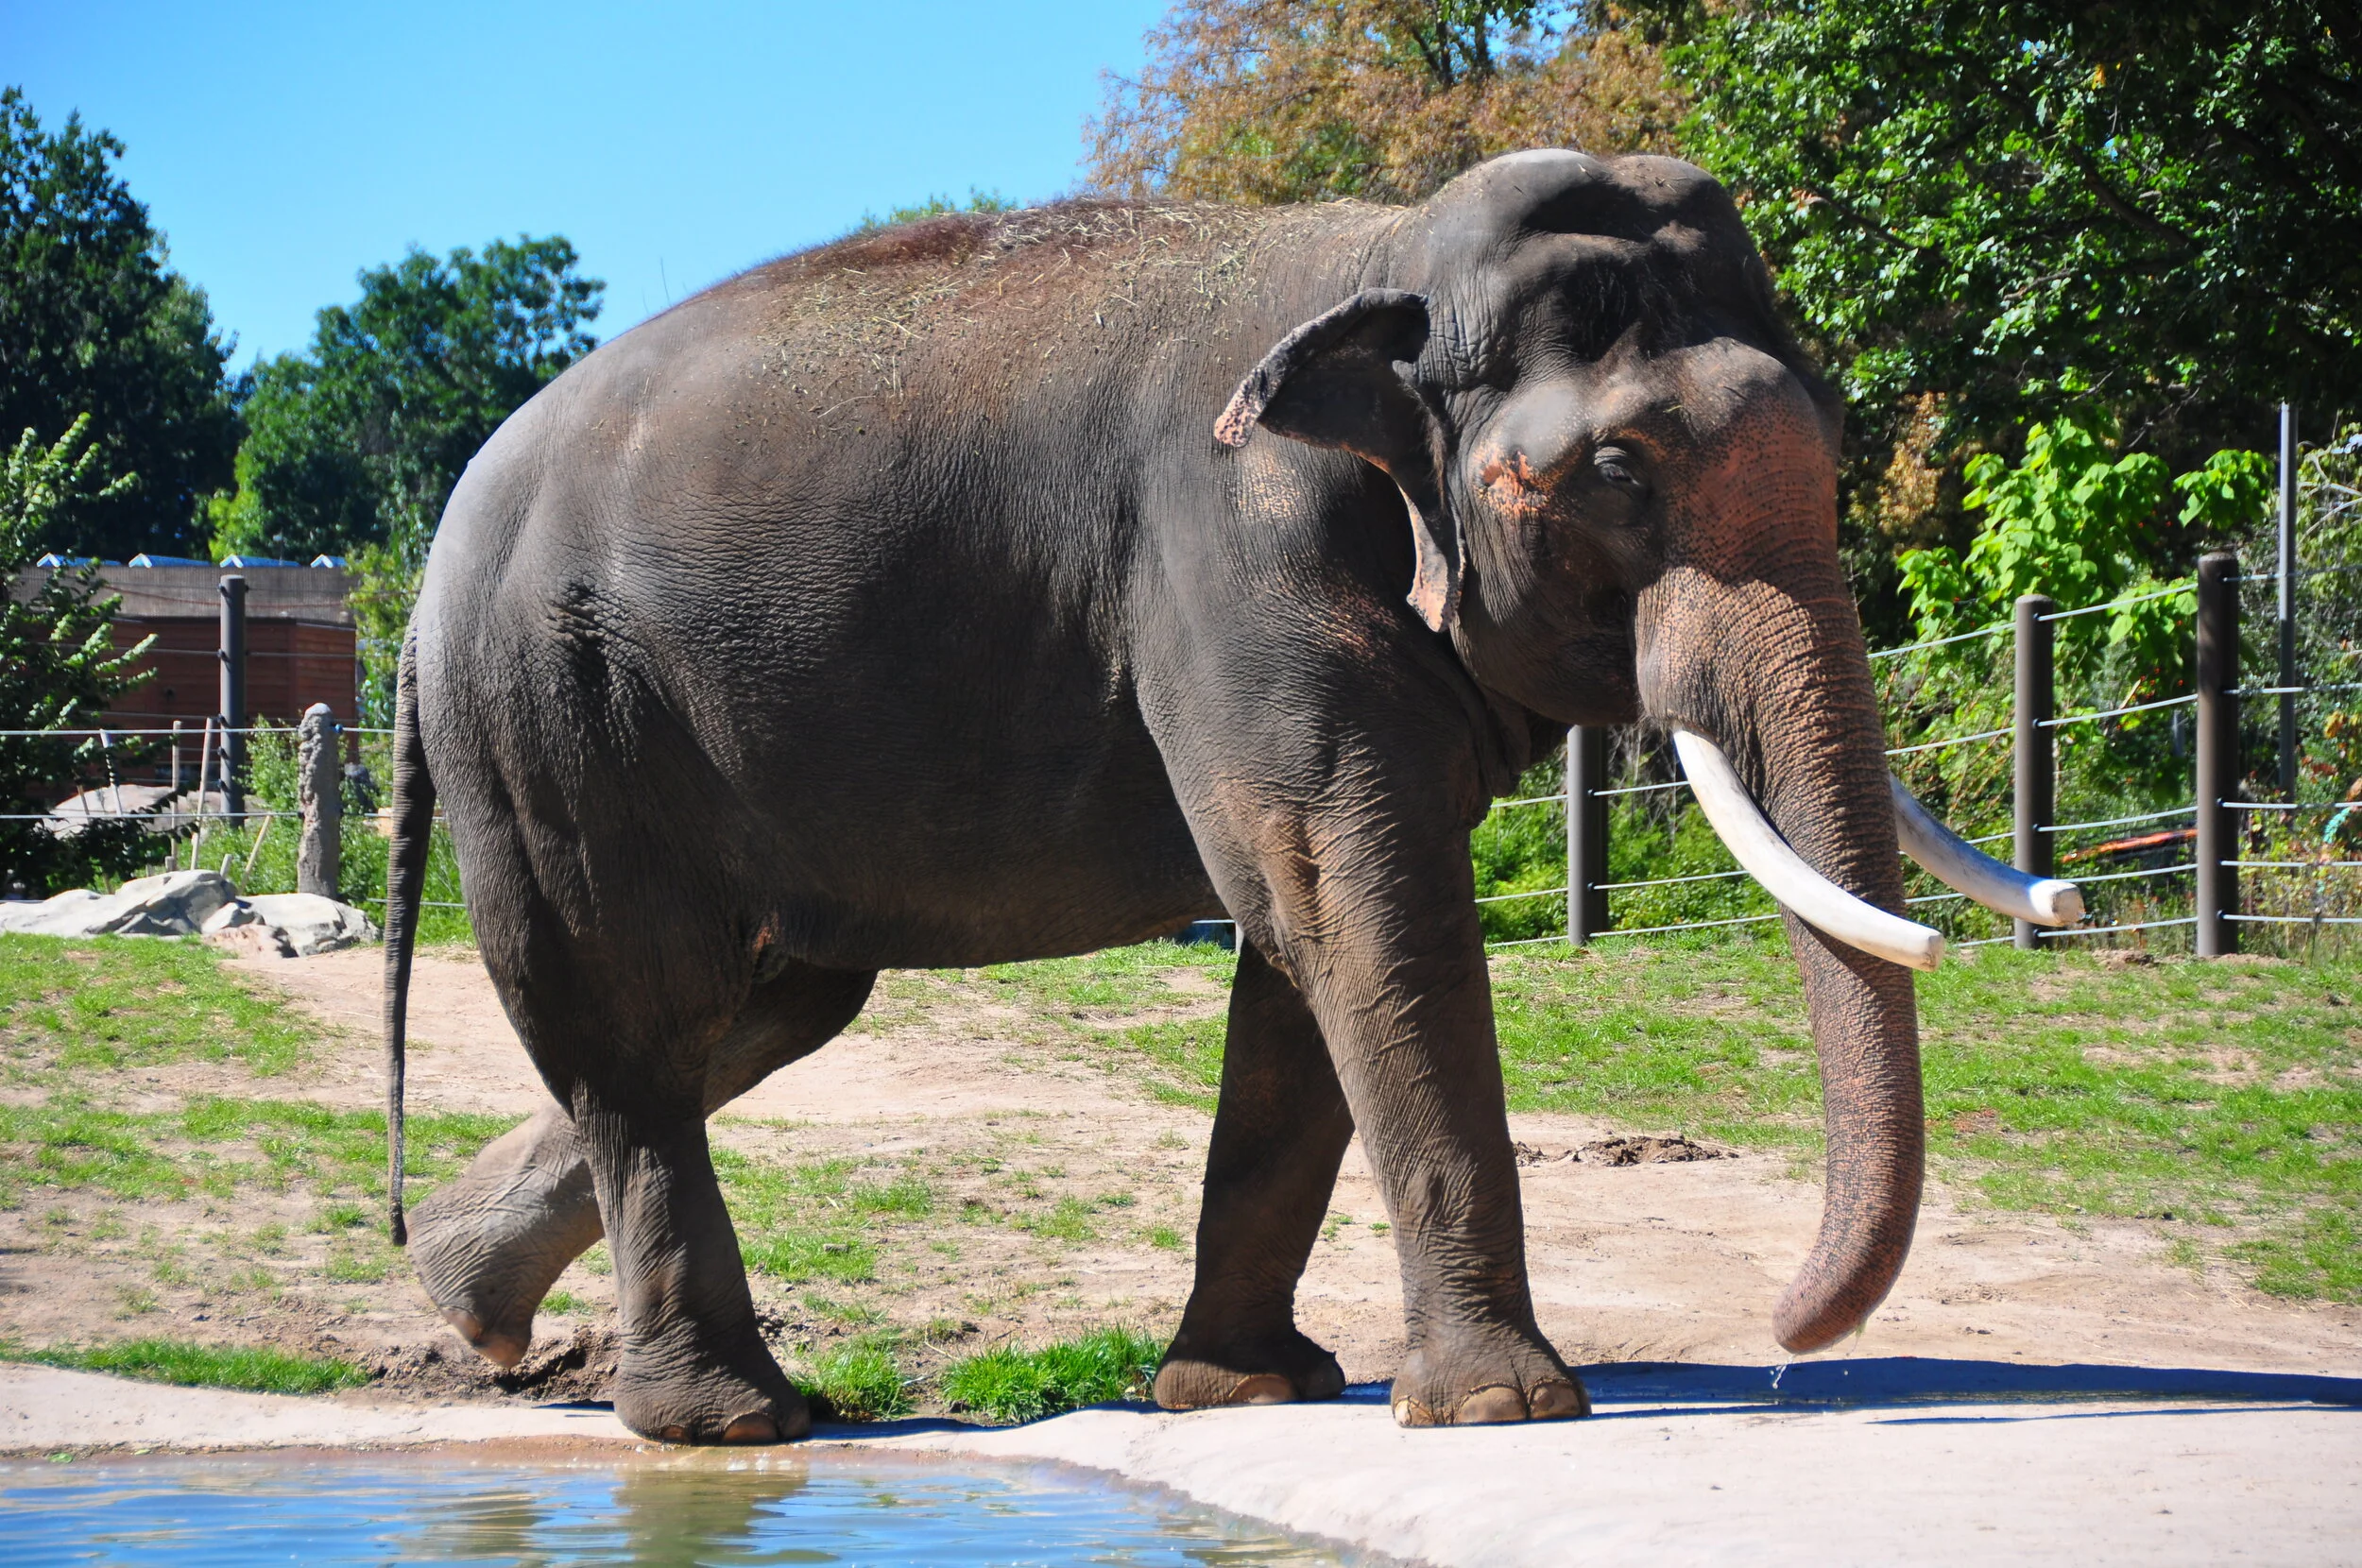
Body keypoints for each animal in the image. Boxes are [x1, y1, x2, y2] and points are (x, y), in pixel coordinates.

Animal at [382, 148, 2079, 1445]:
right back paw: (730, 1425)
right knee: (629, 1012)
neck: (1387, 257)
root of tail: (434, 555)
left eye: (1842, 436)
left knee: (766, 1001)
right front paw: (1505, 1411)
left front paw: (1244, 1393)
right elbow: (1359, 906)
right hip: (547, 714)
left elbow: (1302, 941)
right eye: (1615, 472)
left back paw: (468, 1307)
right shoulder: (1235, 560)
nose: (1789, 1340)